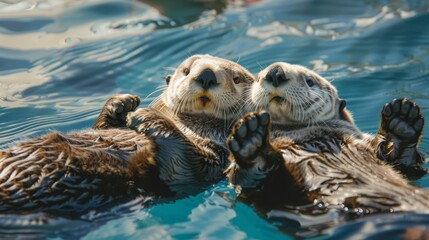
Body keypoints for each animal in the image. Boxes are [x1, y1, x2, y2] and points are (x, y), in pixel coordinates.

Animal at [0, 54, 254, 214]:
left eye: (237, 78)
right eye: (186, 70)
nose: (207, 75)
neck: (191, 126)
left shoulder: (208, 162)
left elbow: (184, 163)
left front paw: (146, 115)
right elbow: (103, 127)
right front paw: (122, 103)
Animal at [226, 61, 426, 214]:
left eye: (310, 81)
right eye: (258, 77)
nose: (275, 73)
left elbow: (404, 163)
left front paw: (402, 120)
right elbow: (251, 178)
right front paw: (250, 142)